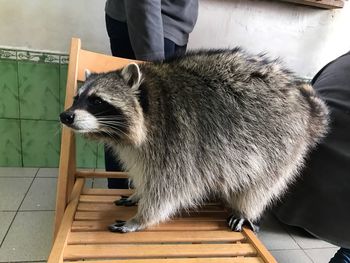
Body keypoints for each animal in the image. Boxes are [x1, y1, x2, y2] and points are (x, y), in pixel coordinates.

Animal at [59, 48, 328, 234]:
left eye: (97, 101)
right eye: (76, 97)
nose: (65, 116)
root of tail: (306, 105)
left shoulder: (175, 140)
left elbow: (168, 188)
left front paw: (142, 218)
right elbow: (144, 172)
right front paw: (139, 192)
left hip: (281, 143)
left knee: (261, 184)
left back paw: (245, 208)